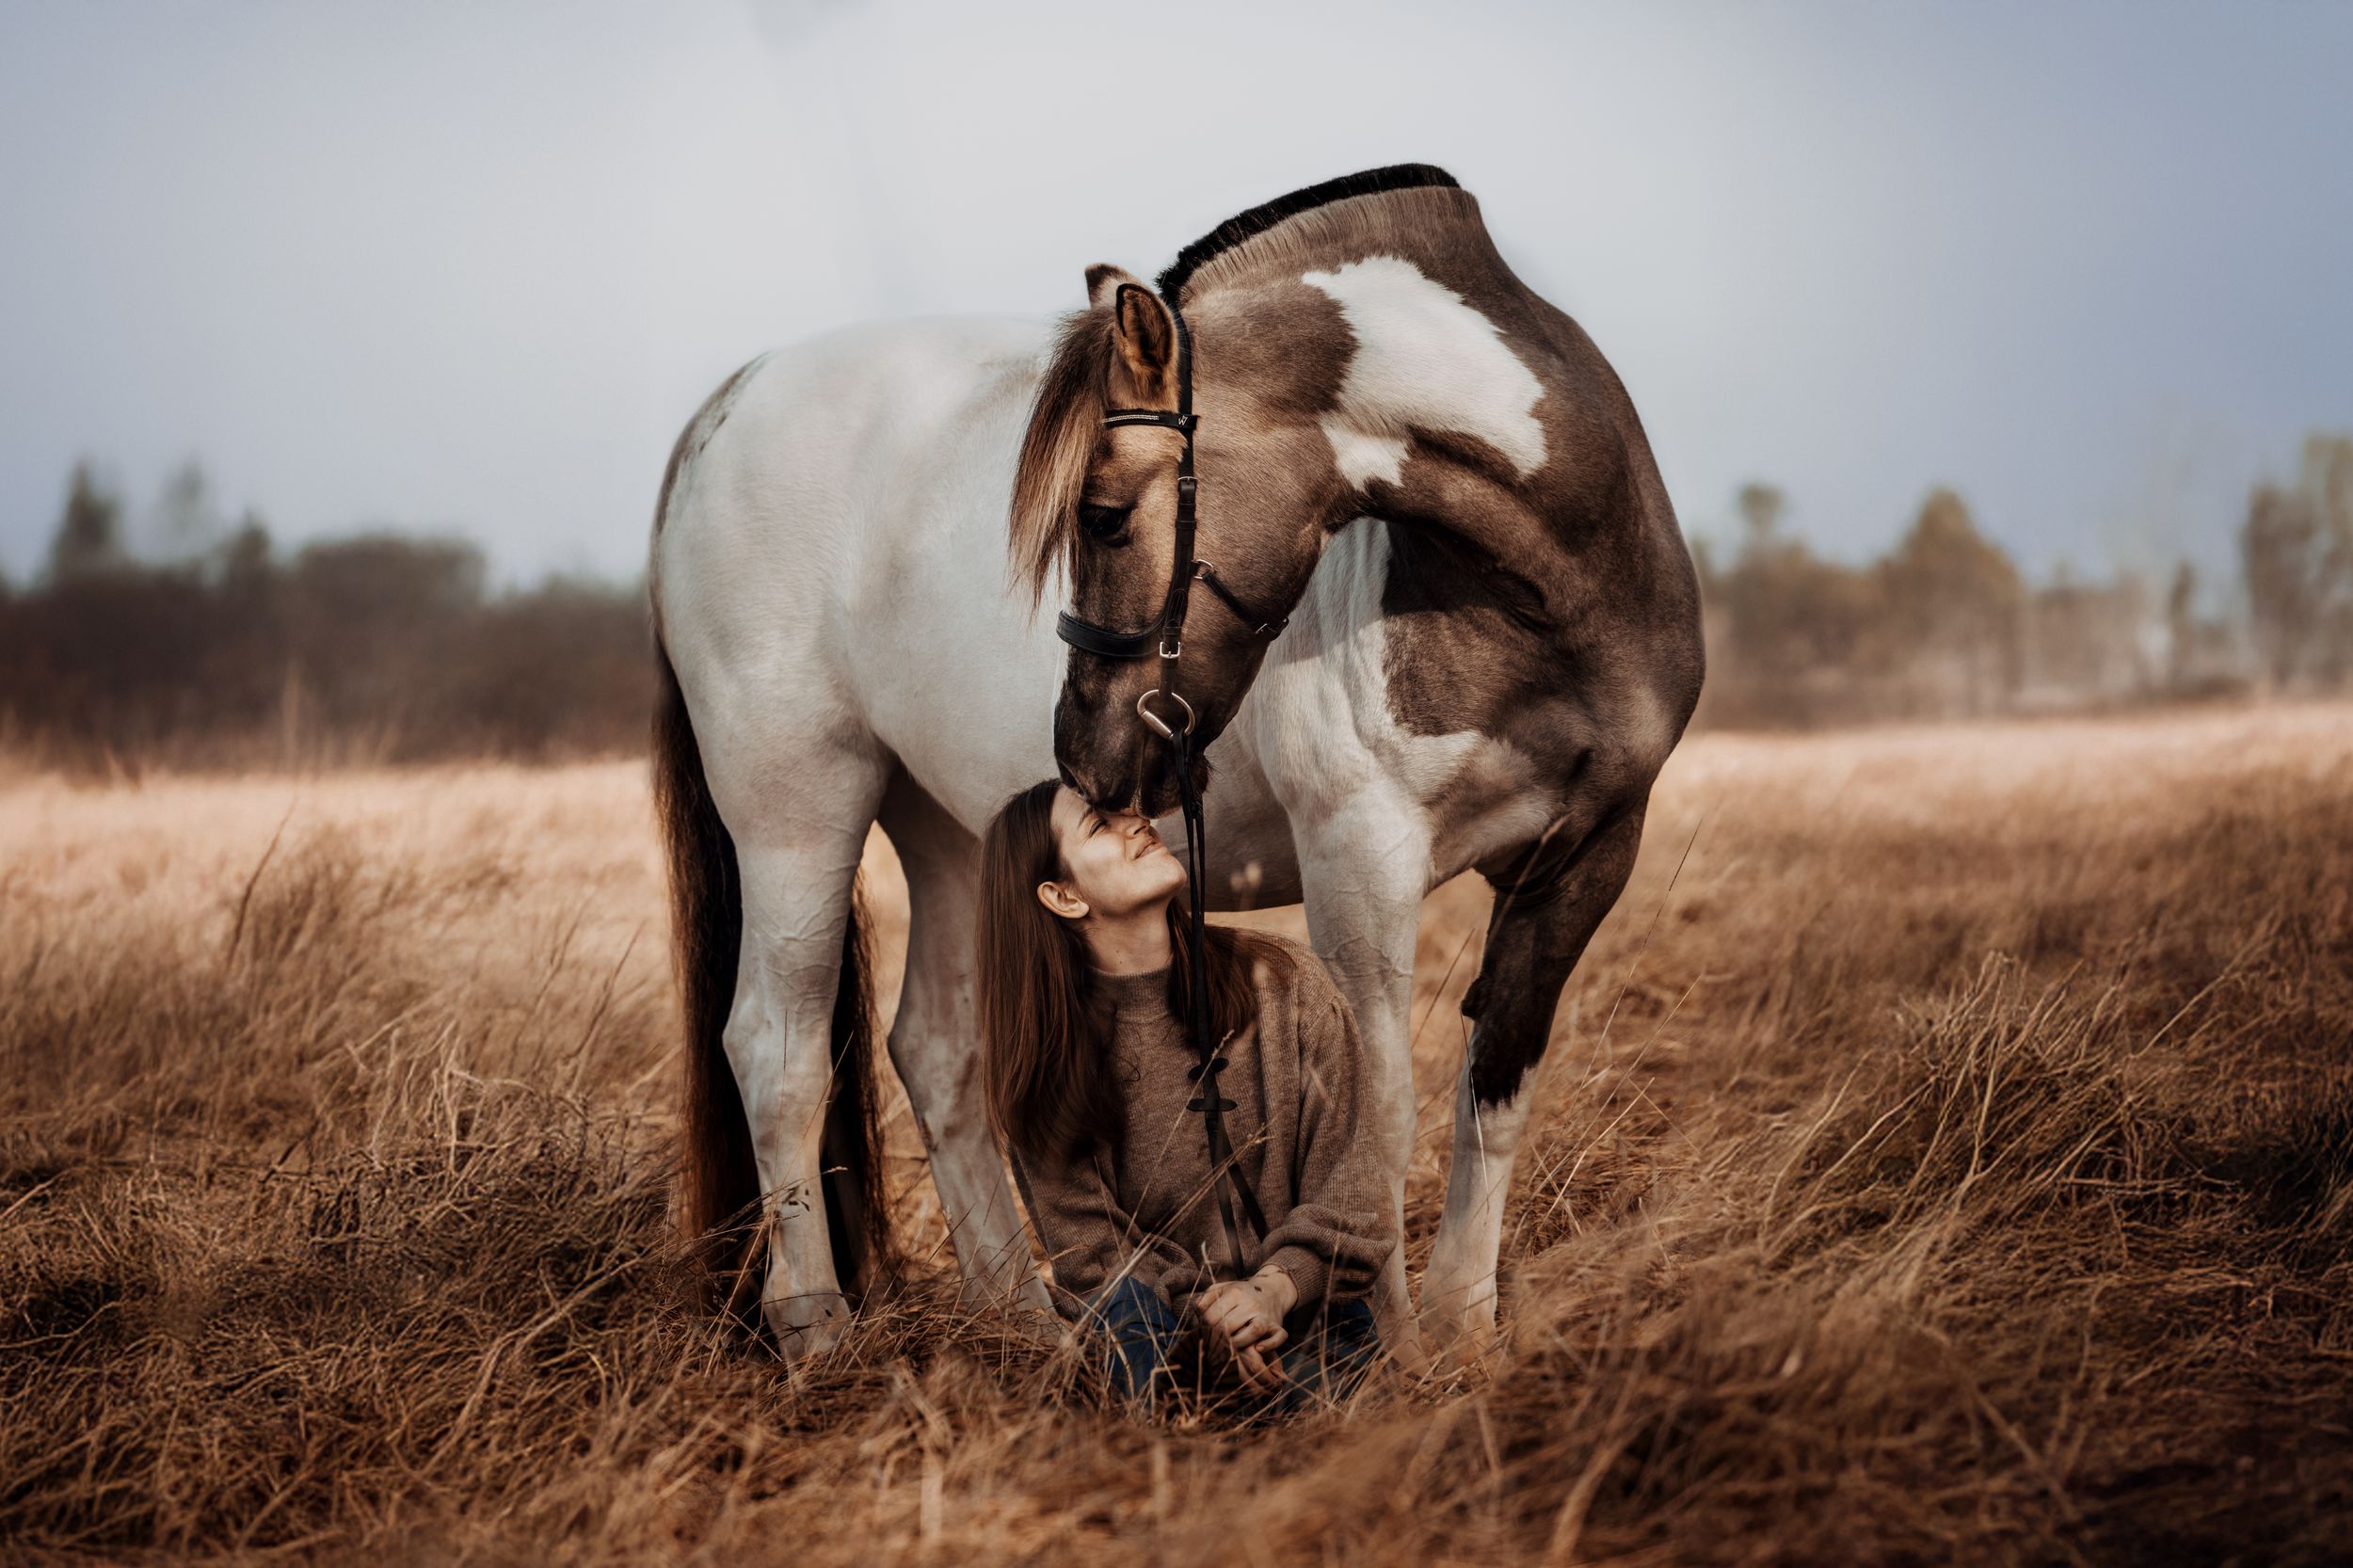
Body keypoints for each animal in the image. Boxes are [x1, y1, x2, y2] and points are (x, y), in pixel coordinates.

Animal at [650, 163, 1703, 1361]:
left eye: (1103, 515)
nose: (1082, 750)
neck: (1534, 596)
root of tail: (730, 403)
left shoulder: (1588, 855)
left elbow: (1496, 1091)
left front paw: (1461, 1331)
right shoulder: (1361, 856)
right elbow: (1380, 1113)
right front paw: (1385, 1347)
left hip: (945, 826)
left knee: (937, 1048)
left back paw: (1024, 1322)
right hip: (796, 810)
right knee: (774, 1050)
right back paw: (816, 1328)